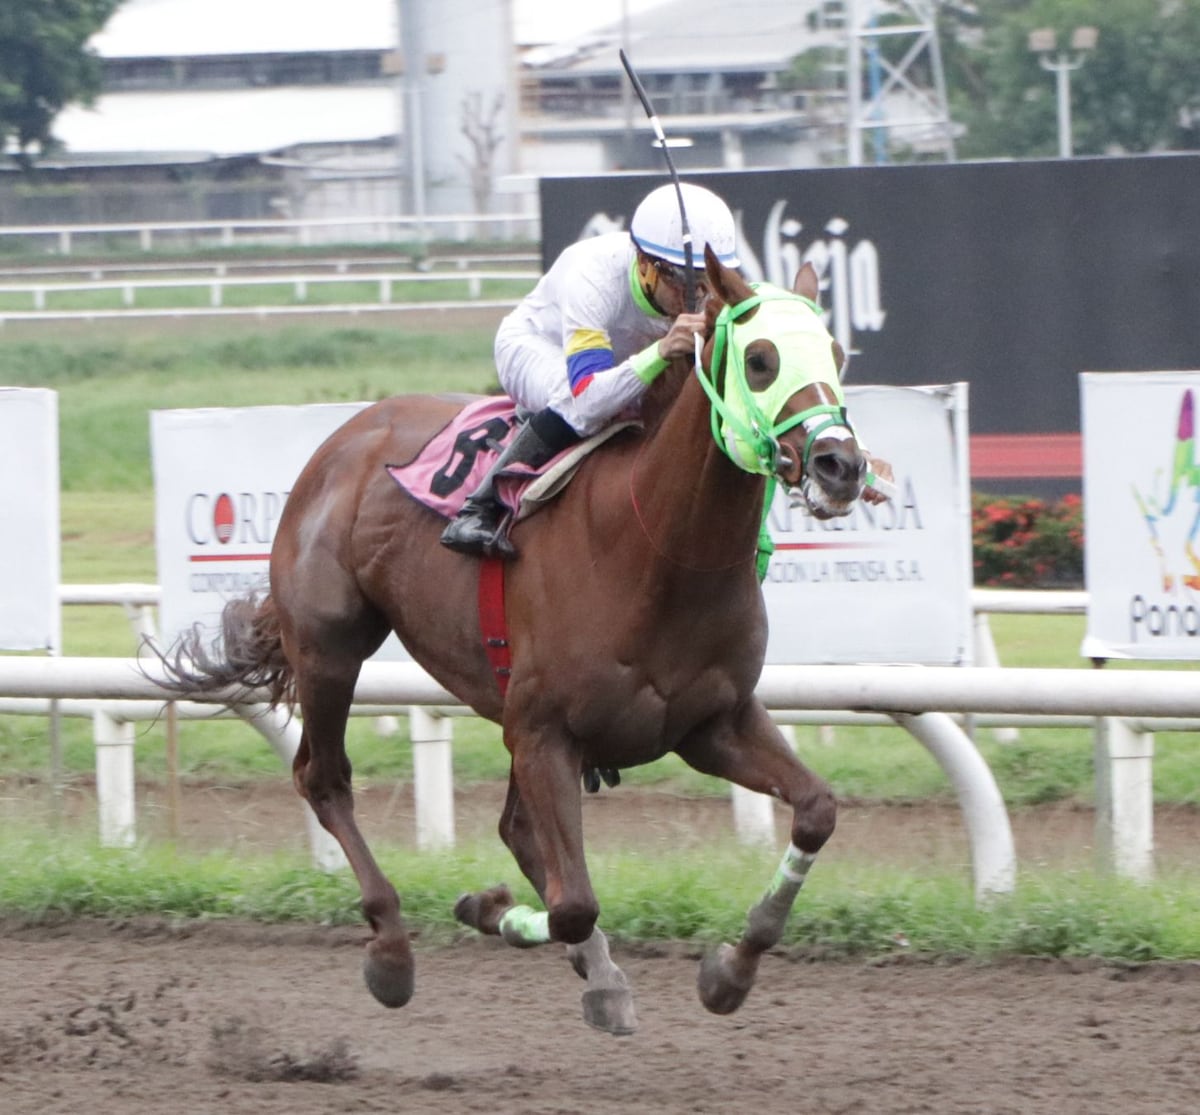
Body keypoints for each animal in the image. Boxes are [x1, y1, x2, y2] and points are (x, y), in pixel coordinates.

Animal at [164, 246, 868, 1036]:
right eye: (759, 359)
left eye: (836, 351)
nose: (842, 465)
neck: (656, 547)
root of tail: (348, 436)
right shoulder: (544, 731)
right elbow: (571, 904)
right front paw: (494, 909)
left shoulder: (711, 722)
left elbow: (816, 811)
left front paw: (727, 972)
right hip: (329, 647)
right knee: (324, 777)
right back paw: (392, 948)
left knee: (514, 828)